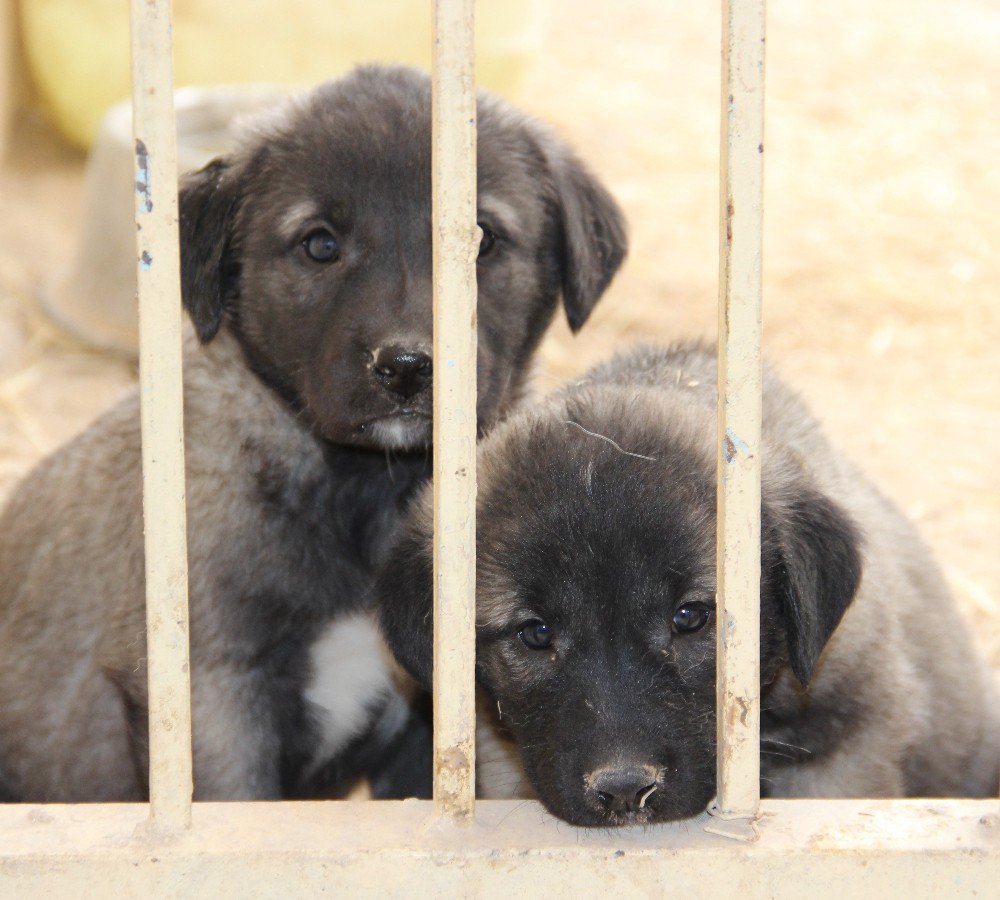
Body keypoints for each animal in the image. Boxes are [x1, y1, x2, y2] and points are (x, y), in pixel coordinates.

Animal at [0, 67, 624, 804]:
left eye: (482, 237)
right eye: (319, 244)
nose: (405, 366)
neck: (362, 490)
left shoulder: (432, 717)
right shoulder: (215, 701)